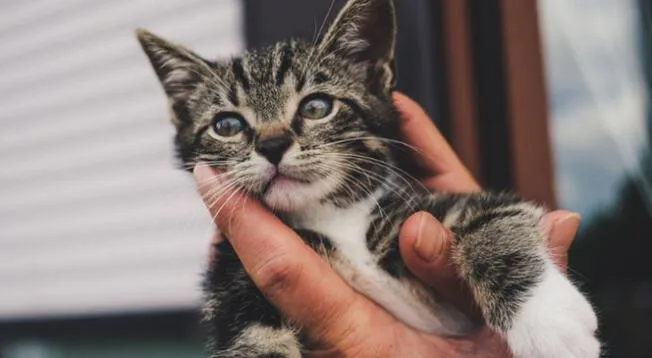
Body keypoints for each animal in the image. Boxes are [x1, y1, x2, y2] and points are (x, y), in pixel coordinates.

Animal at [136, 1, 600, 356]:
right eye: (227, 125)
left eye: (317, 107)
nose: (272, 144)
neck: (334, 220)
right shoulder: (233, 280)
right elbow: (254, 338)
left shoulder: (438, 210)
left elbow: (495, 222)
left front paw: (549, 322)